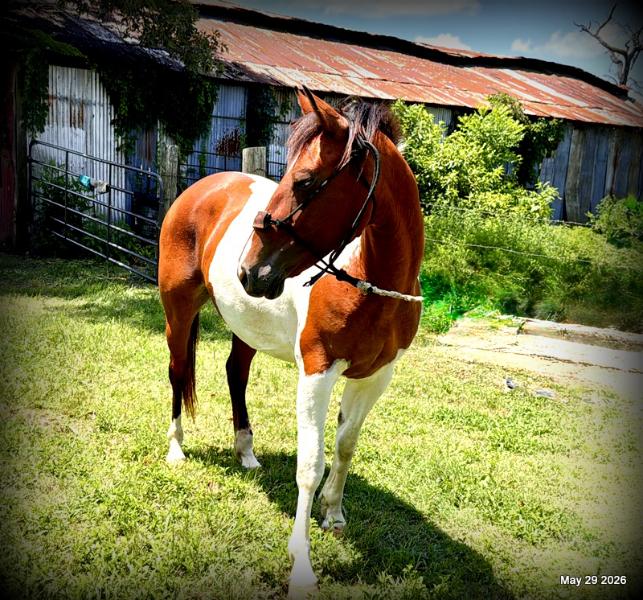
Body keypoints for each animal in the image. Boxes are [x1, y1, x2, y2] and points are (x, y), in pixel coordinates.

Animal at [158, 88, 424, 598]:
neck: (369, 279)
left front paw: (334, 514)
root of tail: (201, 189)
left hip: (245, 326)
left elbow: (345, 446)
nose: (250, 270)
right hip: (178, 313)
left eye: (303, 182)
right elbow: (310, 465)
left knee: (235, 373)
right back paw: (176, 448)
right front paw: (302, 563)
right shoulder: (317, 374)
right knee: (178, 372)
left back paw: (246, 453)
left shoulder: (376, 377)